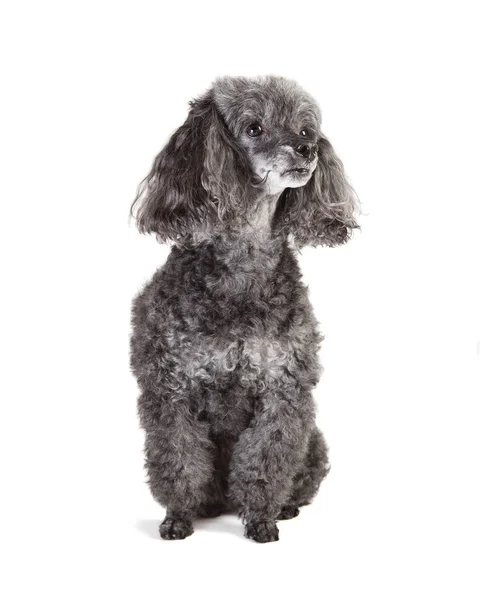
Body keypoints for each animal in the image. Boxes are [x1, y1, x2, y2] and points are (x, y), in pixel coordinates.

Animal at [129, 76, 358, 544]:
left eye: (305, 129)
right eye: (254, 128)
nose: (307, 148)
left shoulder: (283, 391)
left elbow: (266, 459)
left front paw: (262, 517)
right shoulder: (170, 390)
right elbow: (178, 460)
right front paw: (178, 516)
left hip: (313, 440)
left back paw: (285, 506)